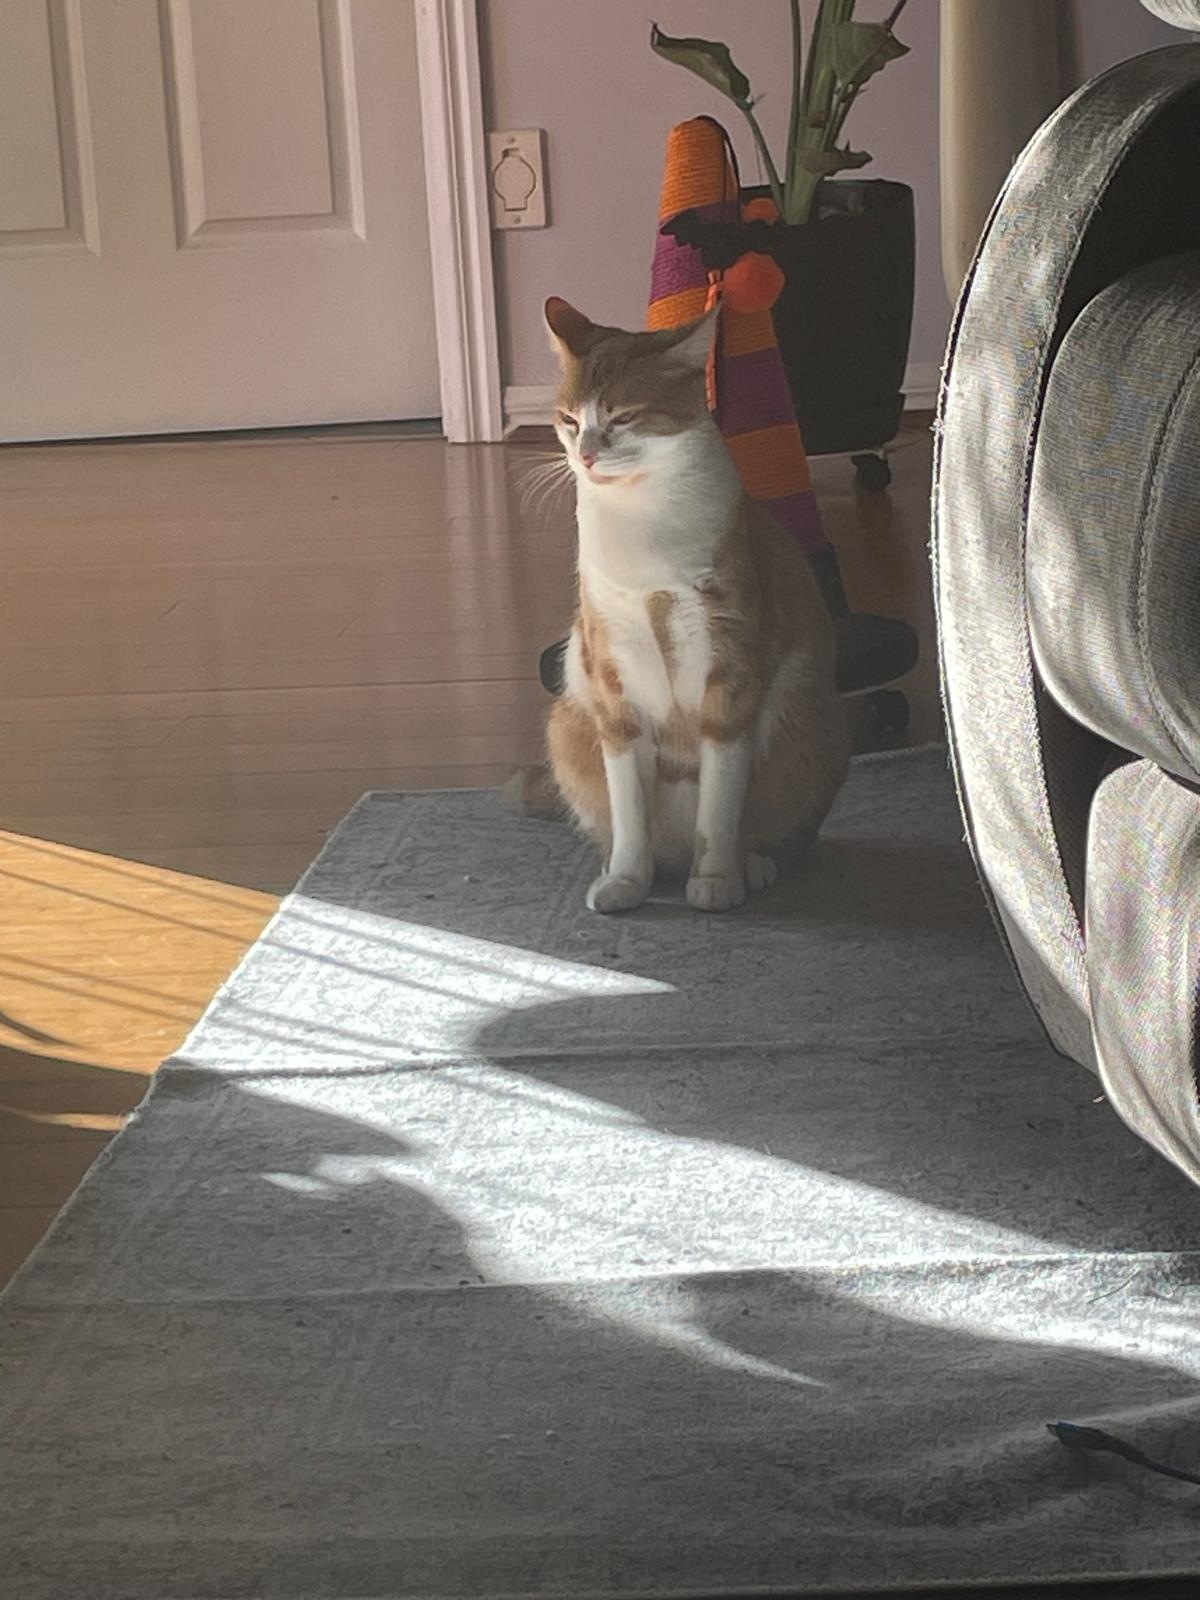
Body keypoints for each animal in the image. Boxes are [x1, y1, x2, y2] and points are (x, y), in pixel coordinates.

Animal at [542, 296, 851, 914]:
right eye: (569, 420)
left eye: (622, 418)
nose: (586, 457)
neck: (640, 527)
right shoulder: (612, 678)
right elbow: (628, 809)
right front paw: (626, 880)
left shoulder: (731, 672)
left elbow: (721, 803)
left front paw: (714, 879)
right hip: (566, 724)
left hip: (816, 728)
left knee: (776, 830)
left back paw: (752, 863)